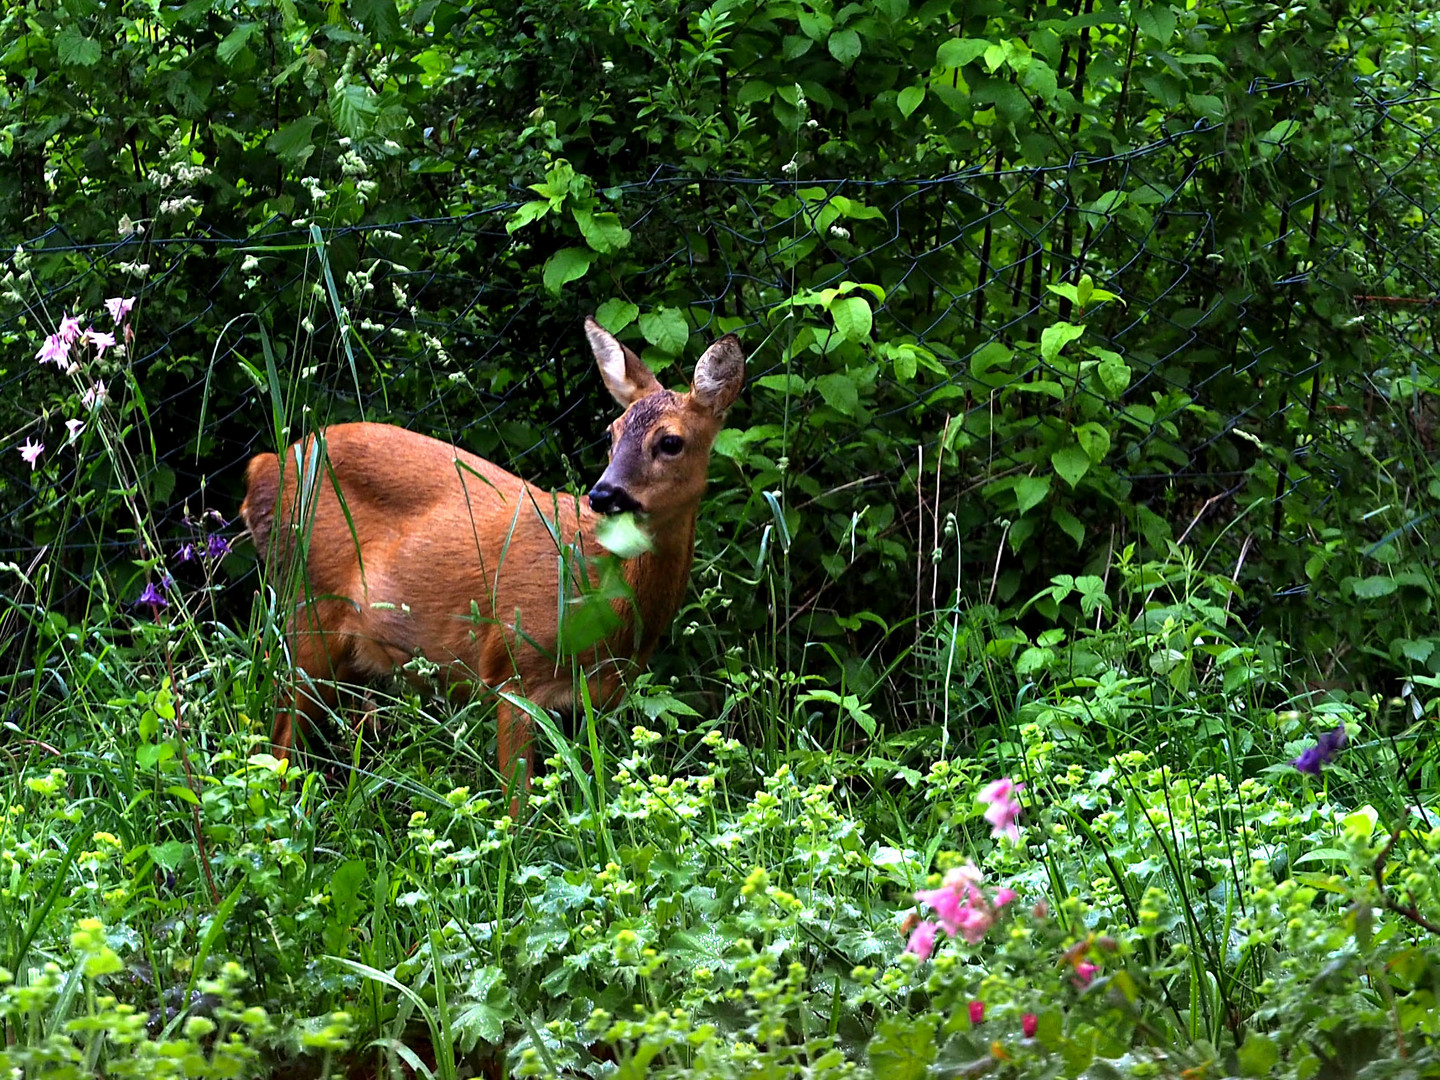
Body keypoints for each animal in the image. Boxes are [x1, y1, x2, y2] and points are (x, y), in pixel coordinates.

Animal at [239, 316, 743, 800]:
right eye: (610, 433)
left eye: (671, 441)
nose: (603, 494)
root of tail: (261, 469)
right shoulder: (510, 668)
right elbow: (518, 805)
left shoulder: (602, 695)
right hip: (308, 604)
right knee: (281, 740)